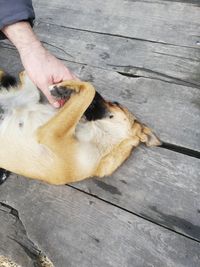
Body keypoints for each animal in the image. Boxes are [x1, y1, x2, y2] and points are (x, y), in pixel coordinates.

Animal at [0, 70, 161, 185]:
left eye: (115, 103)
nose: (100, 95)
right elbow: (89, 89)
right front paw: (67, 87)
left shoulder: (50, 134)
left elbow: (89, 89)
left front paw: (67, 88)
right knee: (23, 74)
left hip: (31, 96)